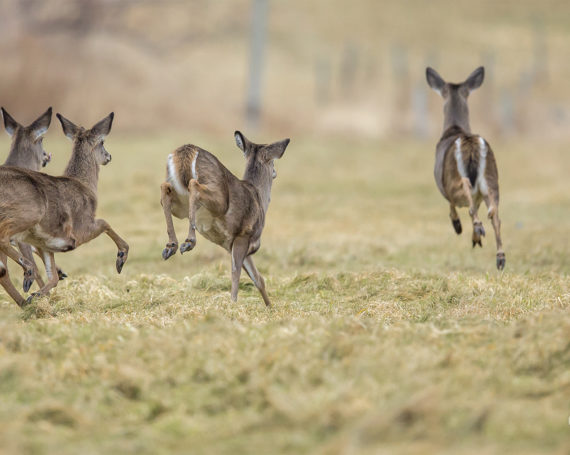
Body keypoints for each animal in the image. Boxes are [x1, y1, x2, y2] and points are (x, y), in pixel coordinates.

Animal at [162, 133, 290, 310]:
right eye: (273, 162)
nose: (275, 173)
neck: (259, 197)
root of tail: (187, 149)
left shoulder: (233, 244)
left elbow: (258, 278)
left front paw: (270, 307)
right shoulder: (244, 235)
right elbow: (236, 272)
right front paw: (233, 303)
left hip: (180, 203)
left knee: (165, 189)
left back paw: (171, 246)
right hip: (219, 200)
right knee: (193, 185)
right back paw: (188, 242)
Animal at [424, 67, 504, 270]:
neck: (455, 129)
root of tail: (470, 143)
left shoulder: (447, 190)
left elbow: (453, 208)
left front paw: (459, 227)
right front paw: (475, 238)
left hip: (454, 181)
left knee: (466, 190)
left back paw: (477, 228)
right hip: (491, 180)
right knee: (495, 214)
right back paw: (500, 257)